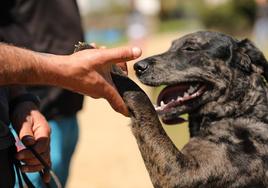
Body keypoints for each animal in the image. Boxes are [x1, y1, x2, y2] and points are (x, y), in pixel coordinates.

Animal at [111, 31, 268, 188]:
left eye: (190, 49)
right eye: (170, 47)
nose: (138, 67)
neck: (237, 112)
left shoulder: (182, 174)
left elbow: (142, 99)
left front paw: (115, 70)